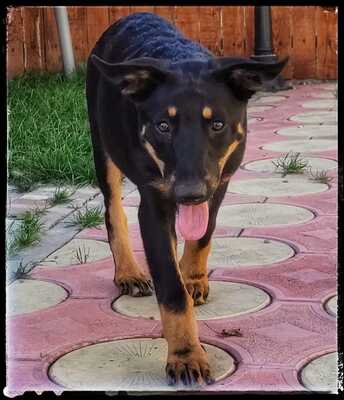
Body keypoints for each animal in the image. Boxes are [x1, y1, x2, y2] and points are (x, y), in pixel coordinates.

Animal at [86, 13, 288, 388]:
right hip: (102, 146)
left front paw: (192, 277)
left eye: (218, 124)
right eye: (163, 125)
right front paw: (186, 357)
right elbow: (170, 288)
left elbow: (202, 235)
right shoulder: (154, 204)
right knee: (113, 210)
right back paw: (129, 272)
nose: (188, 193)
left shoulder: (219, 183)